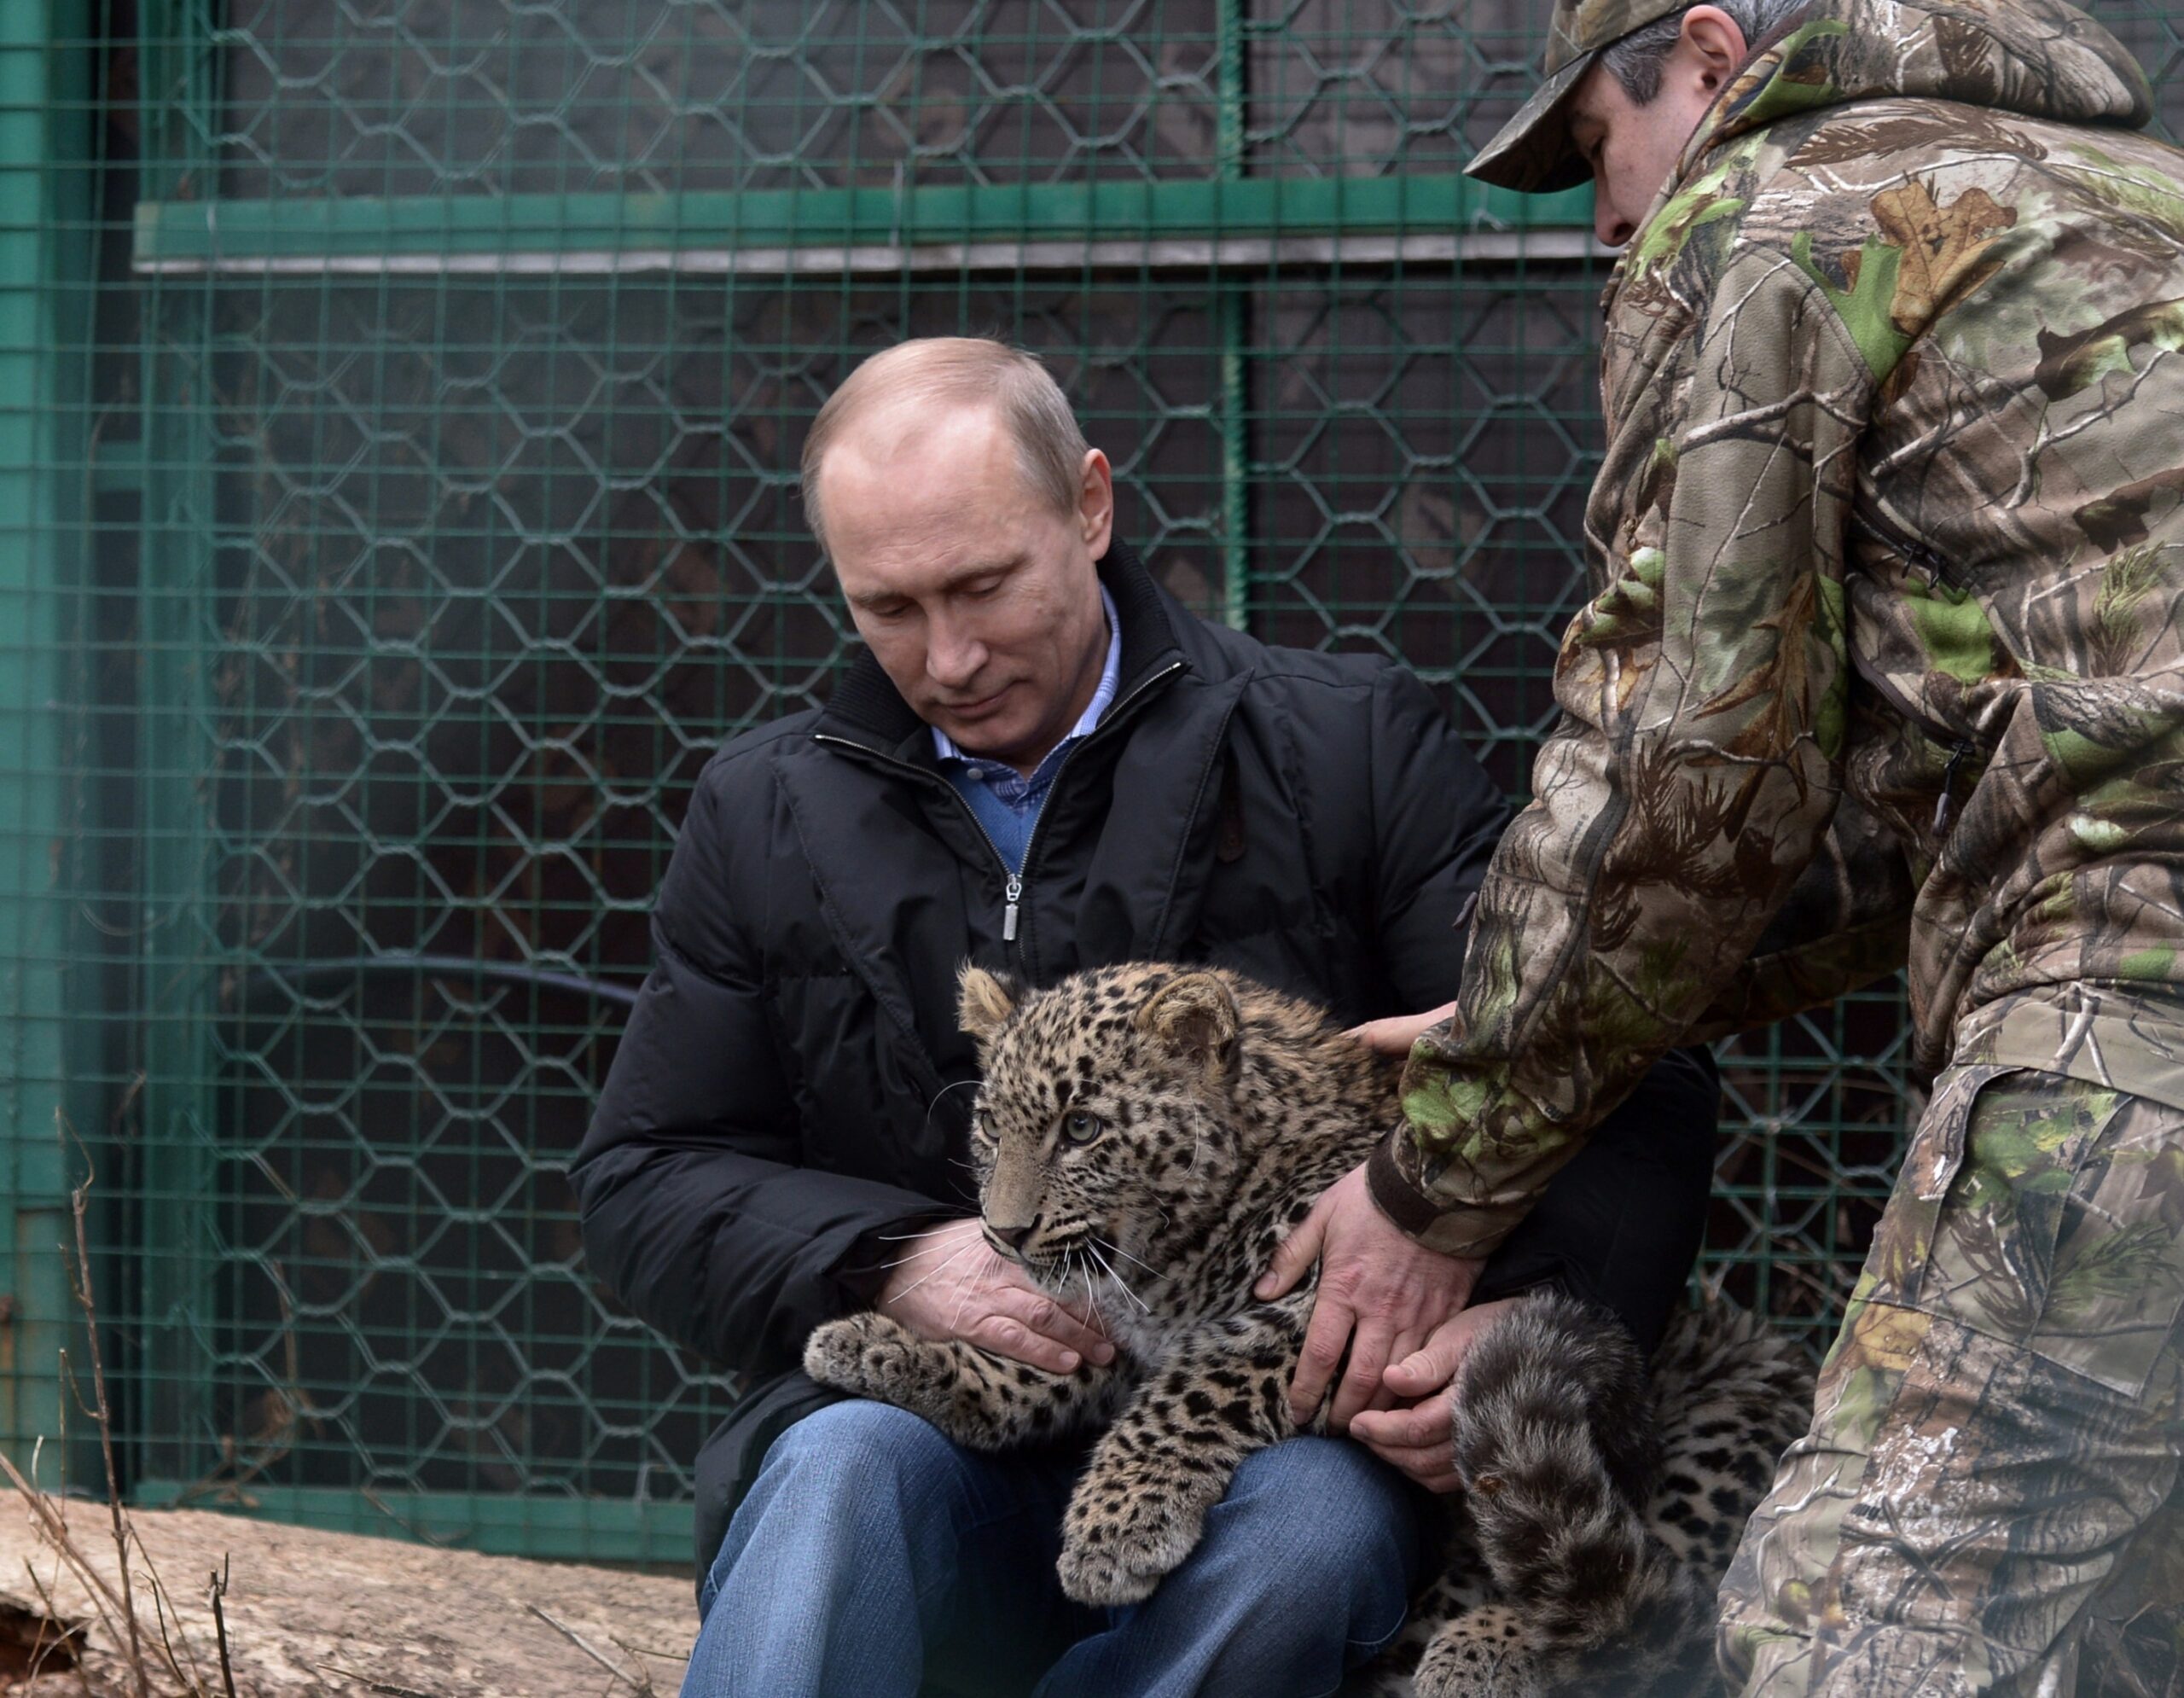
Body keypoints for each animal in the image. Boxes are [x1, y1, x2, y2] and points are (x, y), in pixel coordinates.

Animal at [804, 961, 1814, 1696]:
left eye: (1082, 1129)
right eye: (991, 1126)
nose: (1002, 1234)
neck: (1170, 1250)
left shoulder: (1334, 1306)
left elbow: (1188, 1394)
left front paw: (1112, 1530)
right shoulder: (1125, 1329)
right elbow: (1027, 1370)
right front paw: (872, 1344)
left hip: (1718, 1417)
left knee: (1653, 1601)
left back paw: (1482, 1650)